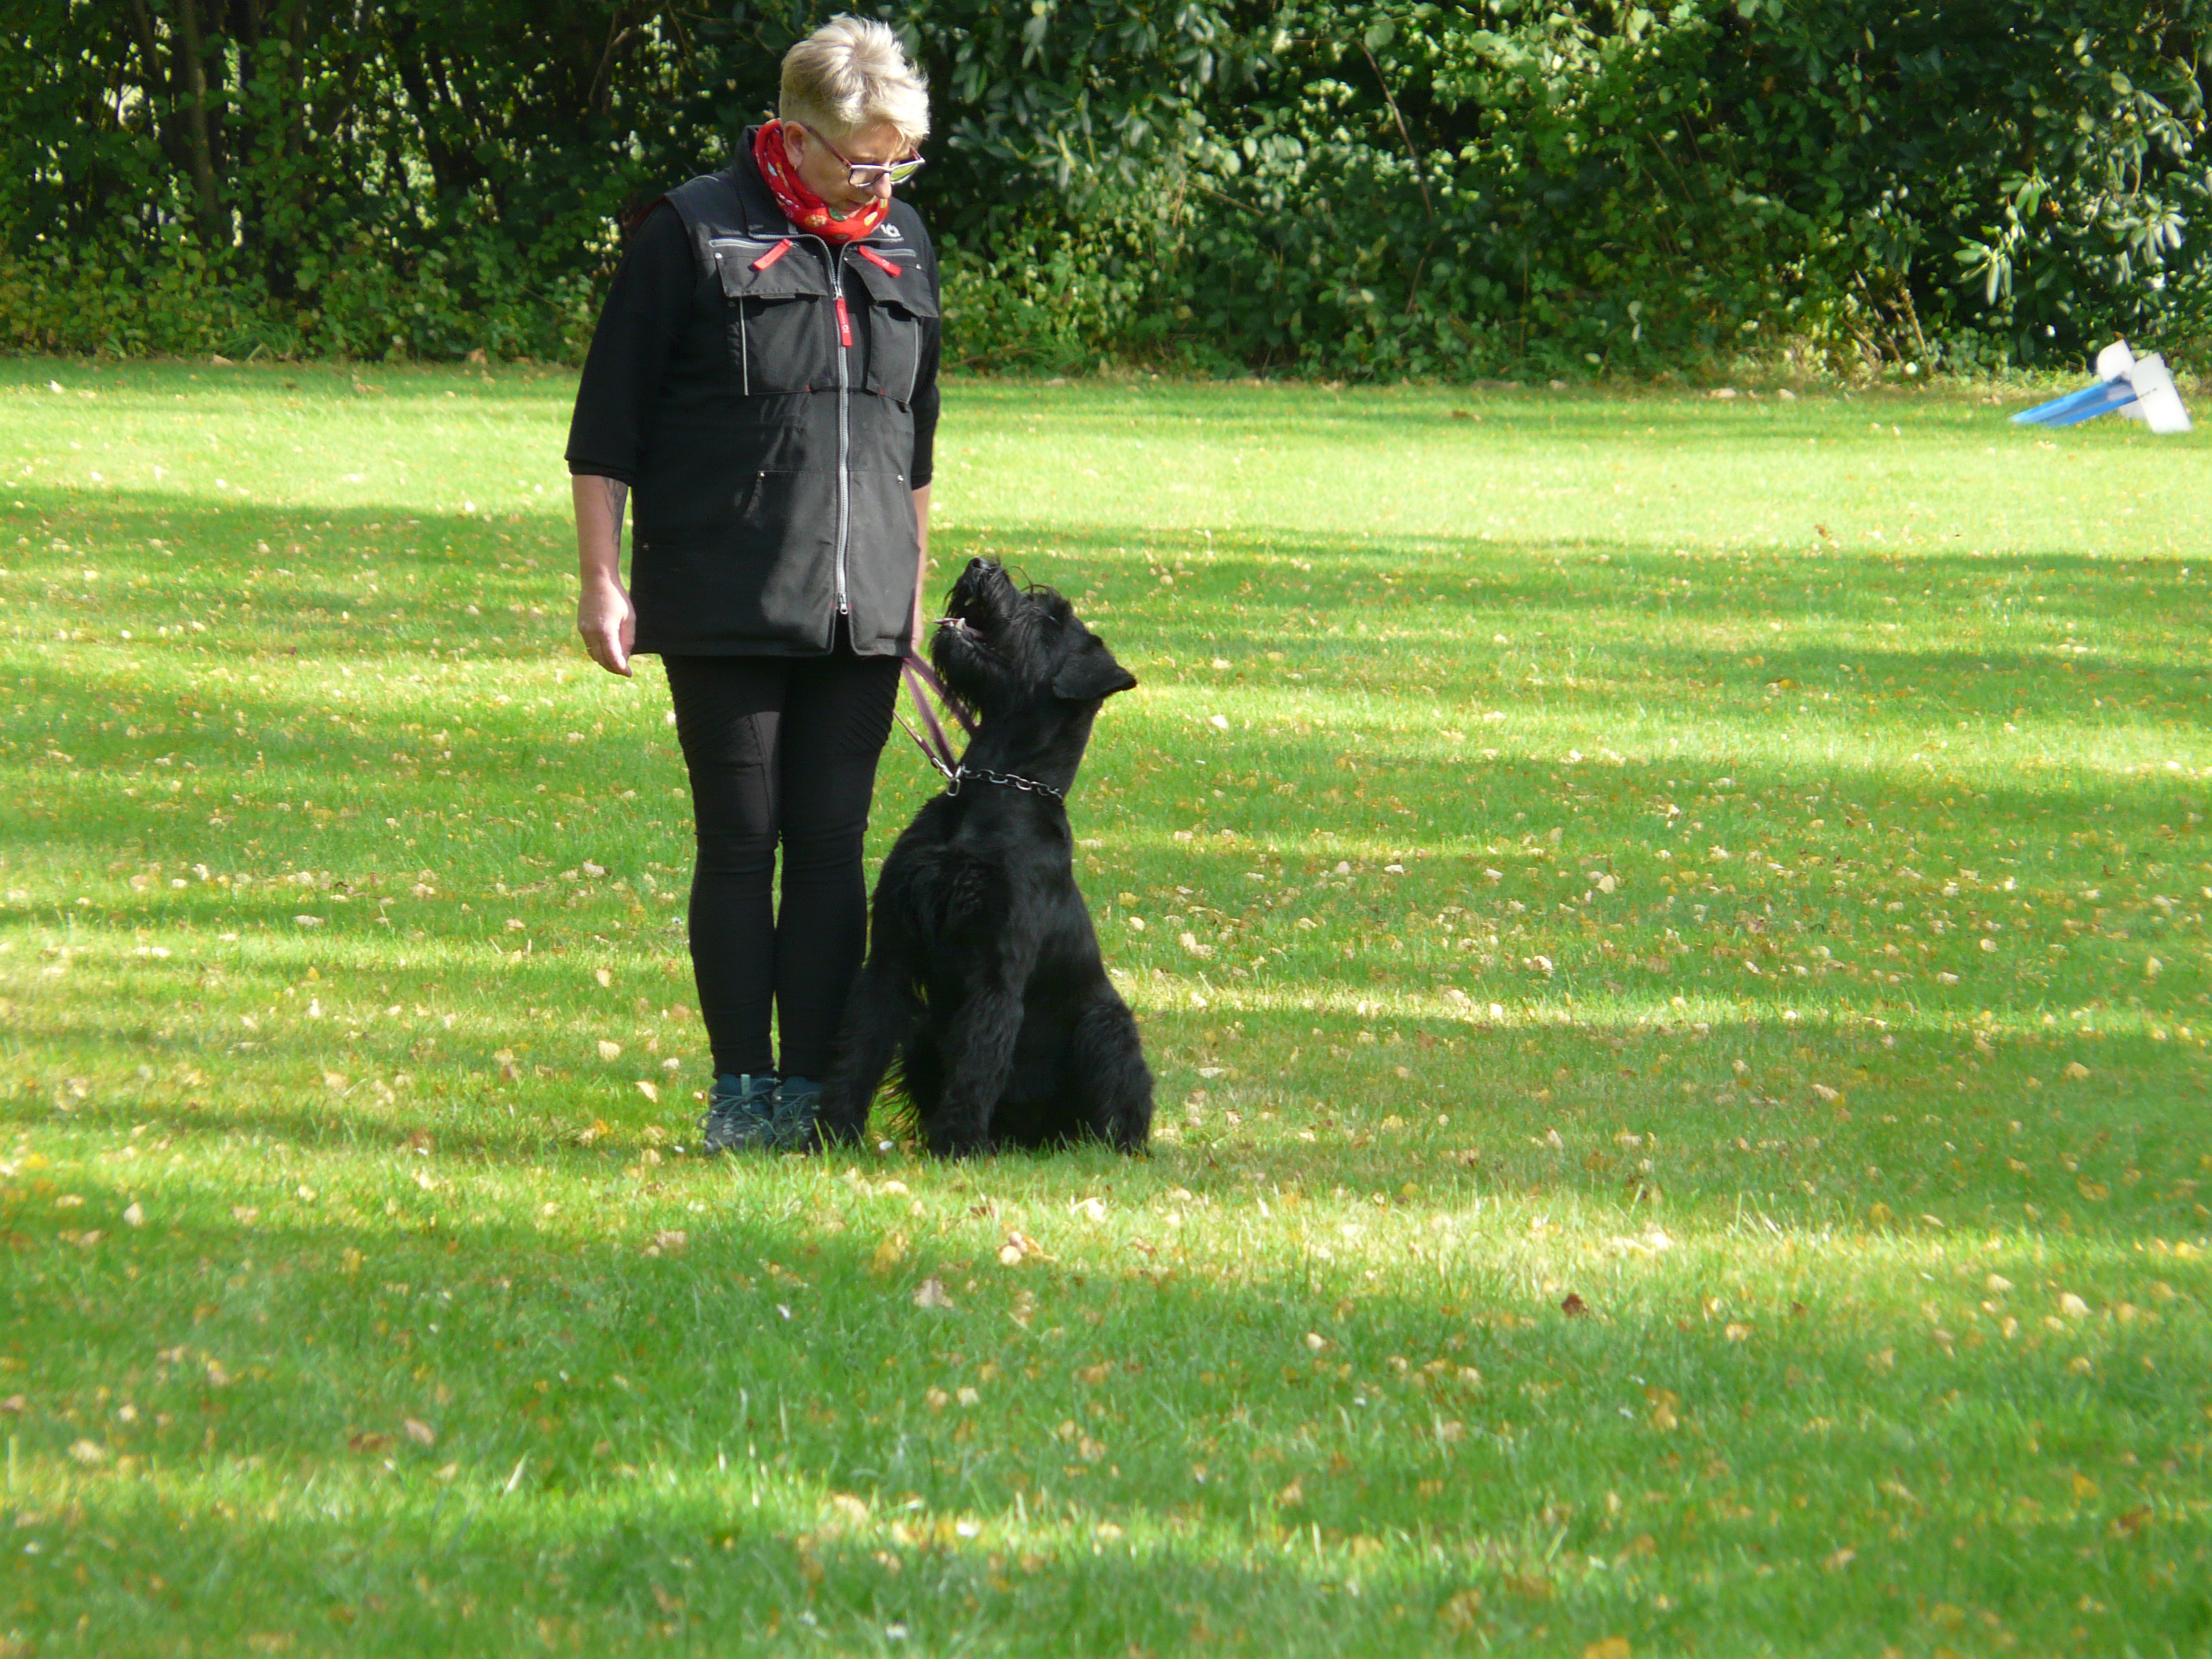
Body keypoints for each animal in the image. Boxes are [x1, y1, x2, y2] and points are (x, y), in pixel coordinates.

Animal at [818, 559, 1159, 1159]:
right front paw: (833, 1132)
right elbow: (859, 1045)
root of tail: (1036, 1140)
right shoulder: (890, 954)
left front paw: (955, 1144)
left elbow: (979, 1056)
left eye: (1052, 616)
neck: (995, 789)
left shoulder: (997, 969)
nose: (982, 566)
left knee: (1119, 1108)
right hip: (924, 1031)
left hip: (1106, 1023)